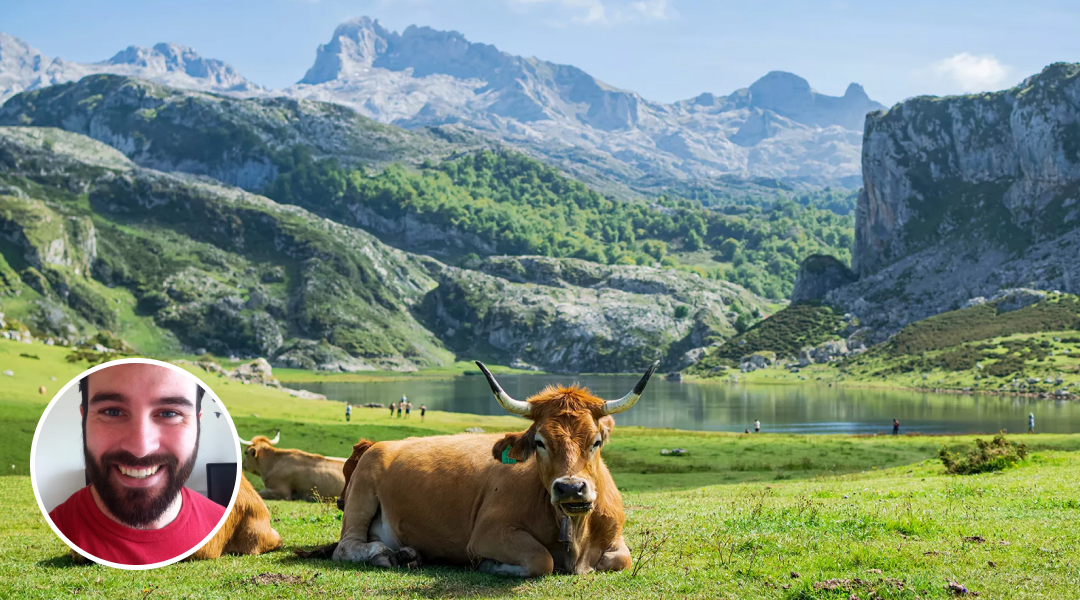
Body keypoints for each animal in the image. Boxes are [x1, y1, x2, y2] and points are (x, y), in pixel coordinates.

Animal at [321, 360, 658, 576]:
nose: (571, 488)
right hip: (360, 496)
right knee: (346, 547)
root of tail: (377, 444)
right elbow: (541, 560)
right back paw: (384, 555)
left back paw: (408, 554)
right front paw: (489, 565)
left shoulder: (616, 539)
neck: (576, 537)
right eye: (540, 442)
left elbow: (621, 559)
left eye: (597, 441)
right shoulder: (487, 533)